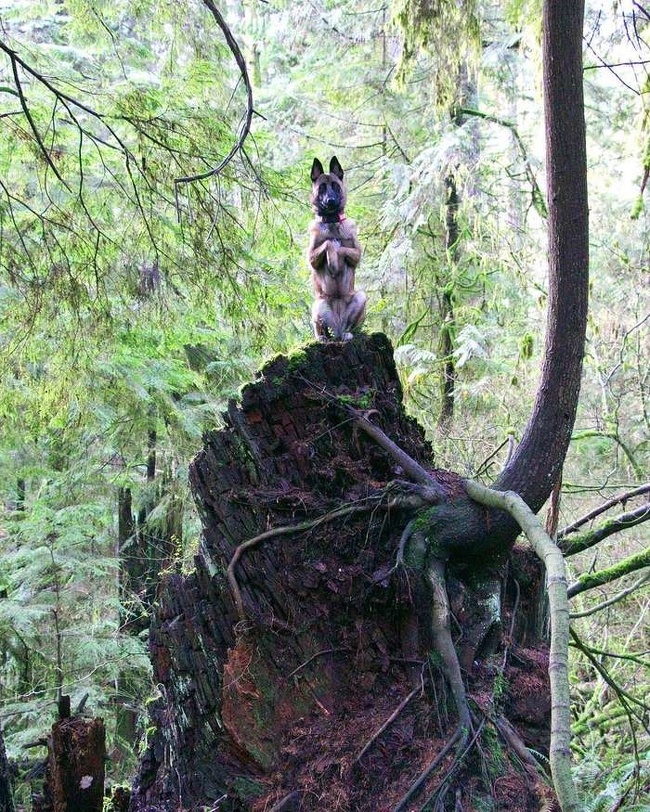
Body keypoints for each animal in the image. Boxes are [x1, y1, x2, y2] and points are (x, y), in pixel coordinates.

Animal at [306, 155, 364, 340]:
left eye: (335, 186)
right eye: (322, 188)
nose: (330, 201)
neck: (332, 221)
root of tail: (337, 328)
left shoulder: (357, 254)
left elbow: (342, 248)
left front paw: (336, 258)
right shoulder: (311, 257)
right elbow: (329, 243)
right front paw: (333, 261)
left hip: (361, 297)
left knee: (350, 328)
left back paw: (348, 333)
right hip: (319, 304)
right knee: (321, 329)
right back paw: (323, 337)